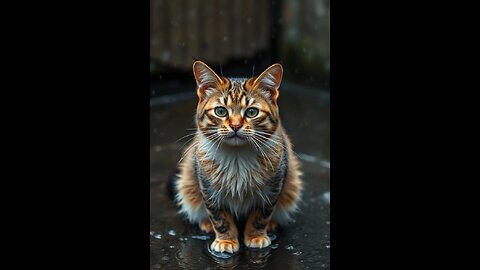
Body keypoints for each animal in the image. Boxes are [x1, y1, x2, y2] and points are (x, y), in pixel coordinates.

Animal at [172, 60, 302, 253]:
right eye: (220, 111)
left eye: (251, 112)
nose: (234, 126)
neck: (237, 155)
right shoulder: (208, 188)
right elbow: (219, 218)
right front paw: (225, 240)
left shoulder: (274, 186)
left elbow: (261, 215)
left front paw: (256, 236)